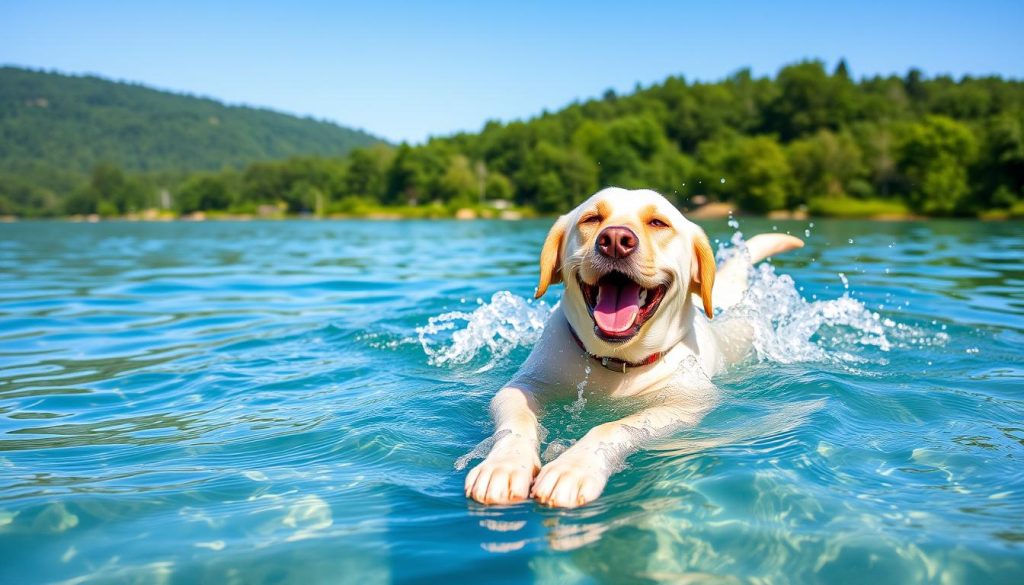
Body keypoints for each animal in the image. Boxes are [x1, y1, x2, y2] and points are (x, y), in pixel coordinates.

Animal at [460, 188, 802, 508]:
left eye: (658, 223)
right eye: (592, 219)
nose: (614, 240)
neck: (614, 361)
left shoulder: (685, 404)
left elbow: (613, 427)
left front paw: (573, 468)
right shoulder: (524, 385)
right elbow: (517, 421)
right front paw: (504, 465)